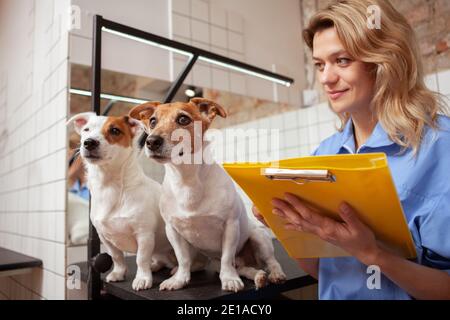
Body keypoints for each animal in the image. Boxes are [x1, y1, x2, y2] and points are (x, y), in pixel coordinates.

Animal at [67, 112, 176, 290]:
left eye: (115, 130)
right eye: (86, 130)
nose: (89, 142)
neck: (110, 186)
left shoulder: (144, 235)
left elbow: (141, 259)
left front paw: (142, 278)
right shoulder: (105, 237)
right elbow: (117, 257)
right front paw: (118, 273)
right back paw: (155, 265)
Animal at [128, 99, 286, 292]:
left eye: (183, 119)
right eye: (152, 121)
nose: (151, 141)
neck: (186, 180)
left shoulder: (230, 227)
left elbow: (227, 257)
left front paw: (229, 279)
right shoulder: (173, 231)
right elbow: (183, 259)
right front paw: (179, 279)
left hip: (259, 239)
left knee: (270, 261)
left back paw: (275, 274)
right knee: (244, 268)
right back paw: (258, 277)